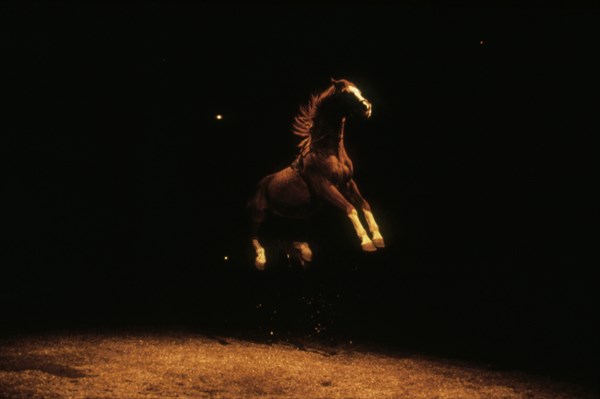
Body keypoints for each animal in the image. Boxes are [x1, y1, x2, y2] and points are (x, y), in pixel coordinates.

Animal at [247, 77, 384, 272]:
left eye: (358, 89)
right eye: (345, 93)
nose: (367, 107)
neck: (328, 151)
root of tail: (258, 186)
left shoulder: (348, 183)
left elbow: (364, 205)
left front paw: (378, 238)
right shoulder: (325, 187)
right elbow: (349, 208)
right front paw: (367, 242)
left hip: (287, 219)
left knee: (285, 240)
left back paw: (302, 252)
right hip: (258, 217)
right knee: (254, 237)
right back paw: (261, 260)